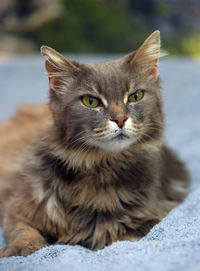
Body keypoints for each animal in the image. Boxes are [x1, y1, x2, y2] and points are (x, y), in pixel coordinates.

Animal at [0, 30, 189, 258]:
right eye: (91, 101)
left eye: (135, 96)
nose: (120, 119)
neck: (101, 167)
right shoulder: (17, 207)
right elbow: (24, 230)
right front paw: (21, 249)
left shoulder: (155, 214)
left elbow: (125, 233)